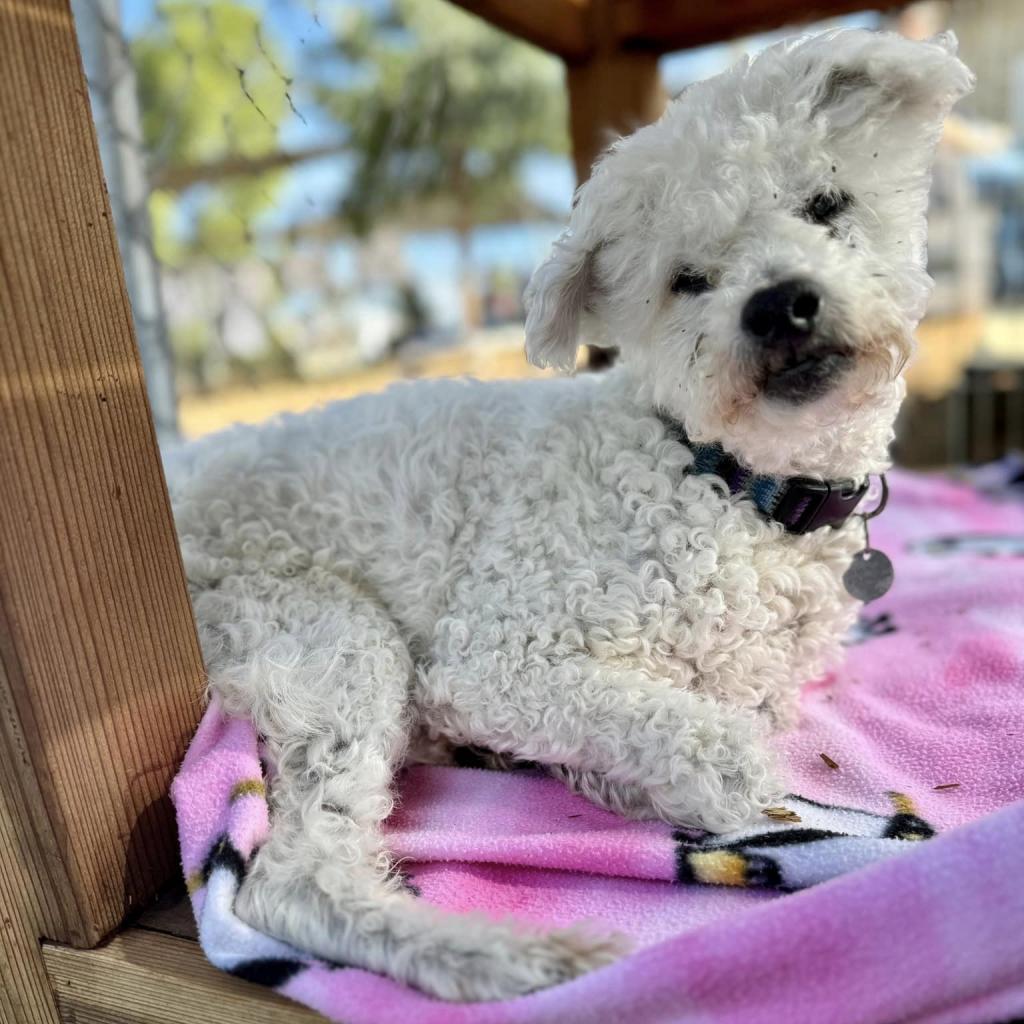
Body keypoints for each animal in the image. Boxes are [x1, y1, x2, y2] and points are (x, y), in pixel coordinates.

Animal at [169, 29, 974, 999]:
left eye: (827, 204)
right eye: (686, 281)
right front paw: (707, 775)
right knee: (292, 881)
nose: (779, 305)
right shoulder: (496, 657)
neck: (723, 480)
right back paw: (517, 961)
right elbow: (701, 738)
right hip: (315, 626)